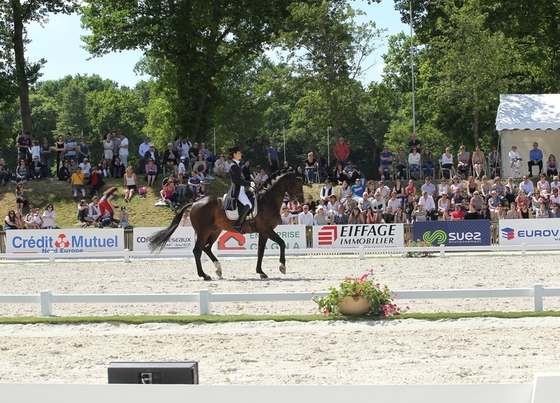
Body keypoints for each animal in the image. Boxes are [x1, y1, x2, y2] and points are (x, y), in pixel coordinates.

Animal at [149, 170, 304, 280]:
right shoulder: (267, 229)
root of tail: (195, 203)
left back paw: (218, 269)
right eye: (297, 183)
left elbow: (261, 251)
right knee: (197, 250)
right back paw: (204, 275)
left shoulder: (263, 232)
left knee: (206, 248)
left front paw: (261, 272)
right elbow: (282, 243)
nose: (301, 201)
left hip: (215, 231)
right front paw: (282, 267)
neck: (267, 200)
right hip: (203, 231)